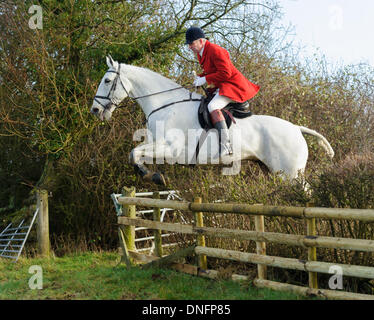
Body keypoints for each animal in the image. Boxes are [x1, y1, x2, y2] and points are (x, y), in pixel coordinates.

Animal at [90, 55, 334, 185]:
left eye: (107, 80)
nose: (95, 110)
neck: (165, 104)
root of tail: (296, 128)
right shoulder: (156, 145)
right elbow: (134, 153)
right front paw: (152, 175)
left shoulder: (171, 149)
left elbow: (134, 153)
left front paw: (155, 177)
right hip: (275, 171)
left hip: (290, 174)